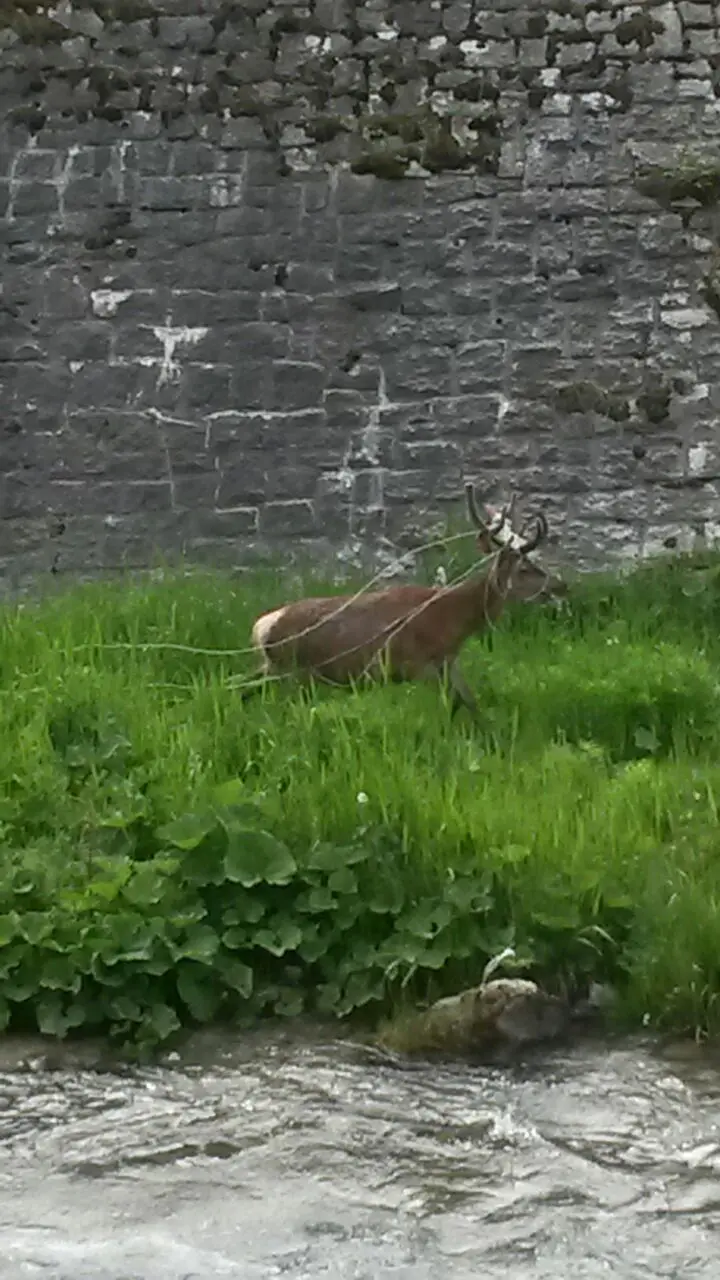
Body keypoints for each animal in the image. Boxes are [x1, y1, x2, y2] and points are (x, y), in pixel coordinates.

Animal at [244, 483, 565, 716]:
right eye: (524, 568)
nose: (561, 586)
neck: (453, 622)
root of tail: (261, 627)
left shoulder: (448, 663)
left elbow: (471, 704)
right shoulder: (417, 666)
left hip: (275, 670)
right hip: (291, 672)